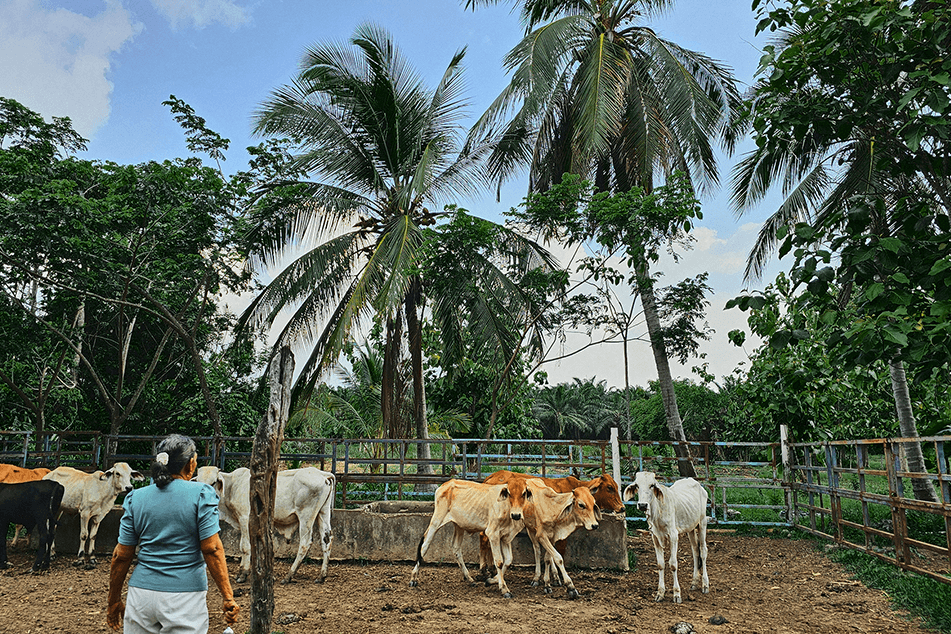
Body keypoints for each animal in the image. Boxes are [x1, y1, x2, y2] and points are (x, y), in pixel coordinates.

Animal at [195, 464, 336, 584]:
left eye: (213, 482)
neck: (232, 486)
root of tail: (322, 474)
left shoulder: (244, 519)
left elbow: (245, 546)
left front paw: (243, 574)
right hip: (323, 513)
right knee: (326, 540)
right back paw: (321, 576)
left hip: (306, 516)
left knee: (305, 543)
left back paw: (289, 576)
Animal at [624, 472, 708, 600]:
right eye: (637, 485)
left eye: (652, 485)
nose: (642, 505)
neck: (658, 512)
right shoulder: (655, 537)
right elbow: (660, 564)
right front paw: (660, 593)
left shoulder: (673, 536)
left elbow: (673, 564)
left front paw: (677, 593)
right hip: (691, 528)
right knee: (695, 552)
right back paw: (694, 582)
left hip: (702, 523)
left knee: (703, 551)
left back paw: (705, 585)